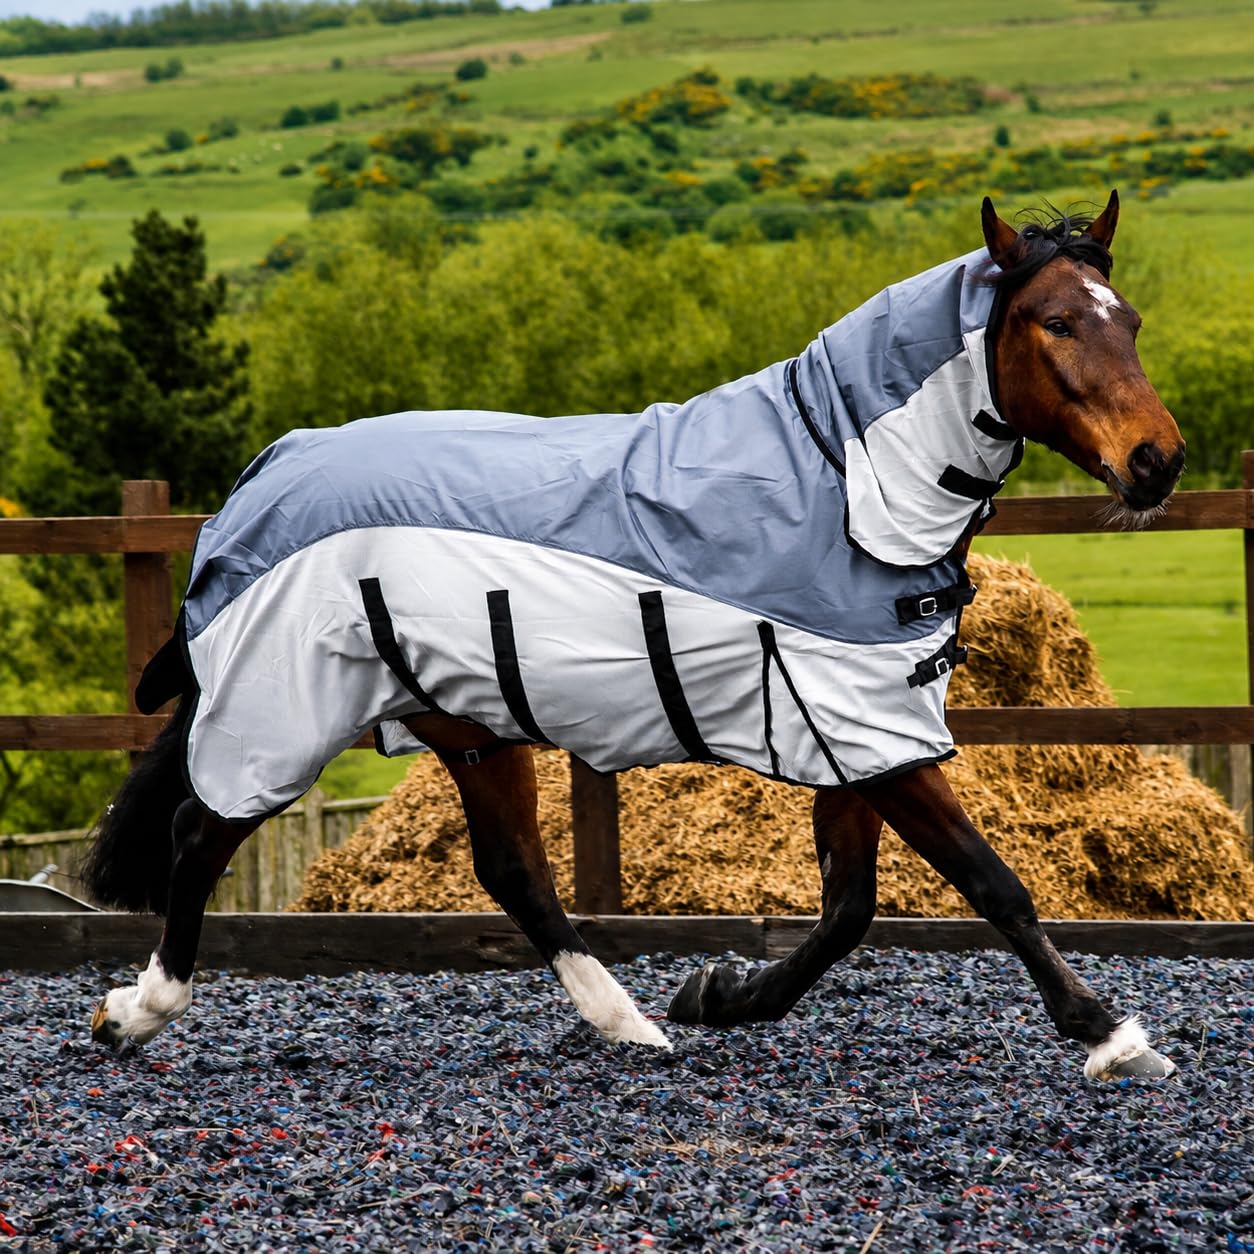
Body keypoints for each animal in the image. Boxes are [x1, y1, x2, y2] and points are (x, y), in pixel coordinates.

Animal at [83, 191, 1185, 1081]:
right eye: (1055, 322)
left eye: (1129, 319)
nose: (1157, 462)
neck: (845, 480)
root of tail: (258, 484)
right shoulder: (874, 739)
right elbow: (991, 884)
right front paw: (1109, 1035)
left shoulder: (863, 732)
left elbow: (849, 908)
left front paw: (720, 997)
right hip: (288, 712)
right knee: (198, 834)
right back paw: (135, 1012)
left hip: (466, 725)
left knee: (514, 872)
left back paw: (629, 1025)